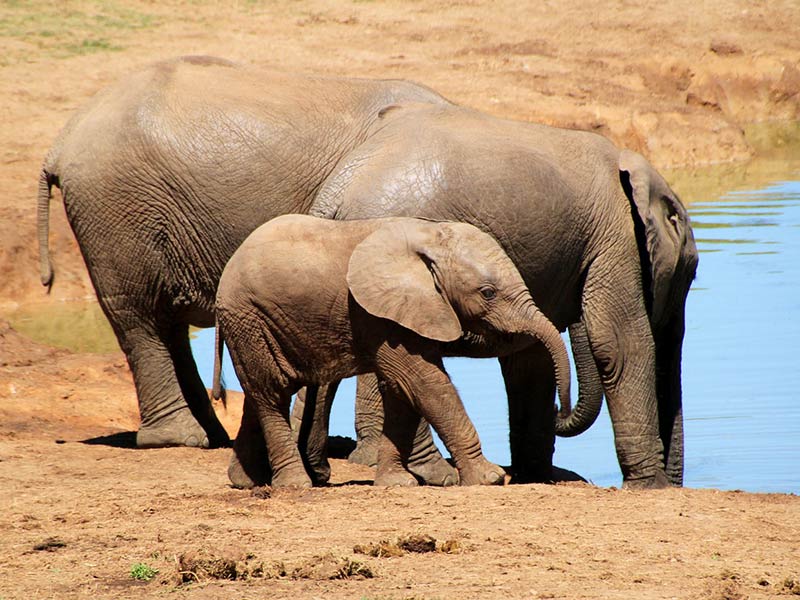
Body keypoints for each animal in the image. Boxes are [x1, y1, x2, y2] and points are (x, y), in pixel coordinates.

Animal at [212, 213, 576, 490]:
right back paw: (295, 484)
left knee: (260, 393)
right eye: (487, 292)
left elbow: (402, 391)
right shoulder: (378, 314)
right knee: (271, 394)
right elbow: (423, 382)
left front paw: (396, 483)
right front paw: (490, 479)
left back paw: (247, 481)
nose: (560, 411)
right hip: (248, 317)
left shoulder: (407, 313)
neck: (429, 237)